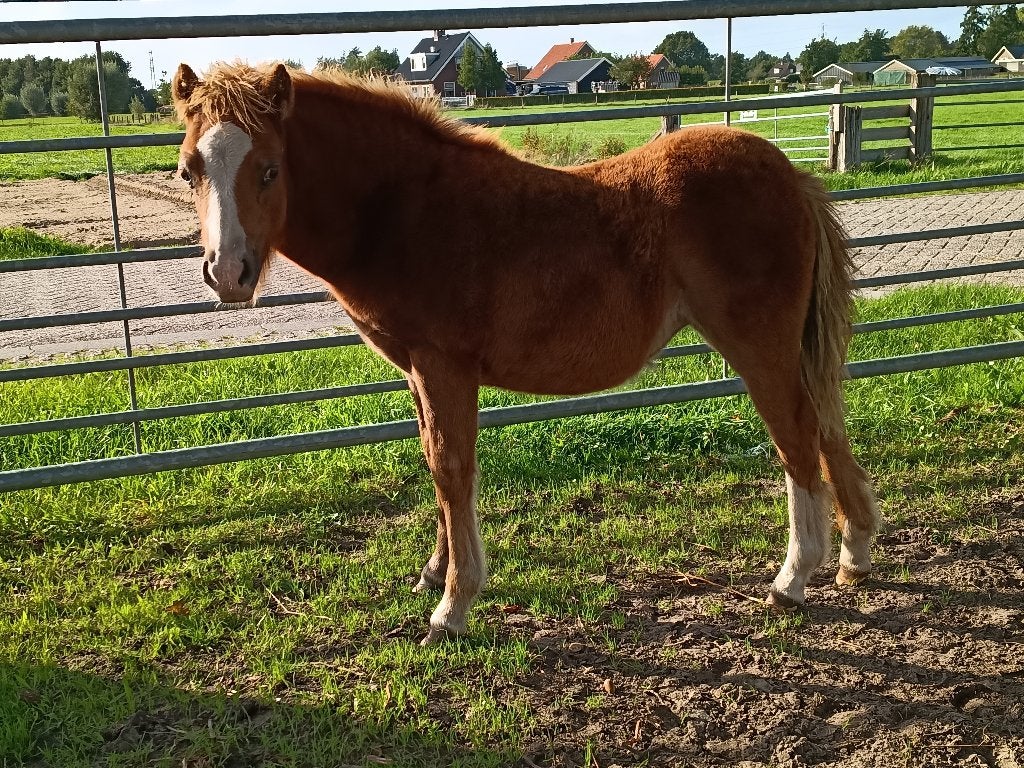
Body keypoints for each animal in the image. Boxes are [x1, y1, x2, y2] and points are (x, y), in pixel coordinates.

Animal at [171, 61, 880, 645]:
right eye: (189, 170)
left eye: (269, 169)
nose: (227, 274)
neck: (404, 210)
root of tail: (792, 175)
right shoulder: (420, 372)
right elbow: (433, 461)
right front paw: (434, 573)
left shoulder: (444, 365)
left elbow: (452, 469)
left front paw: (454, 605)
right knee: (827, 427)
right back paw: (855, 554)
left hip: (759, 348)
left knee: (798, 439)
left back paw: (793, 579)